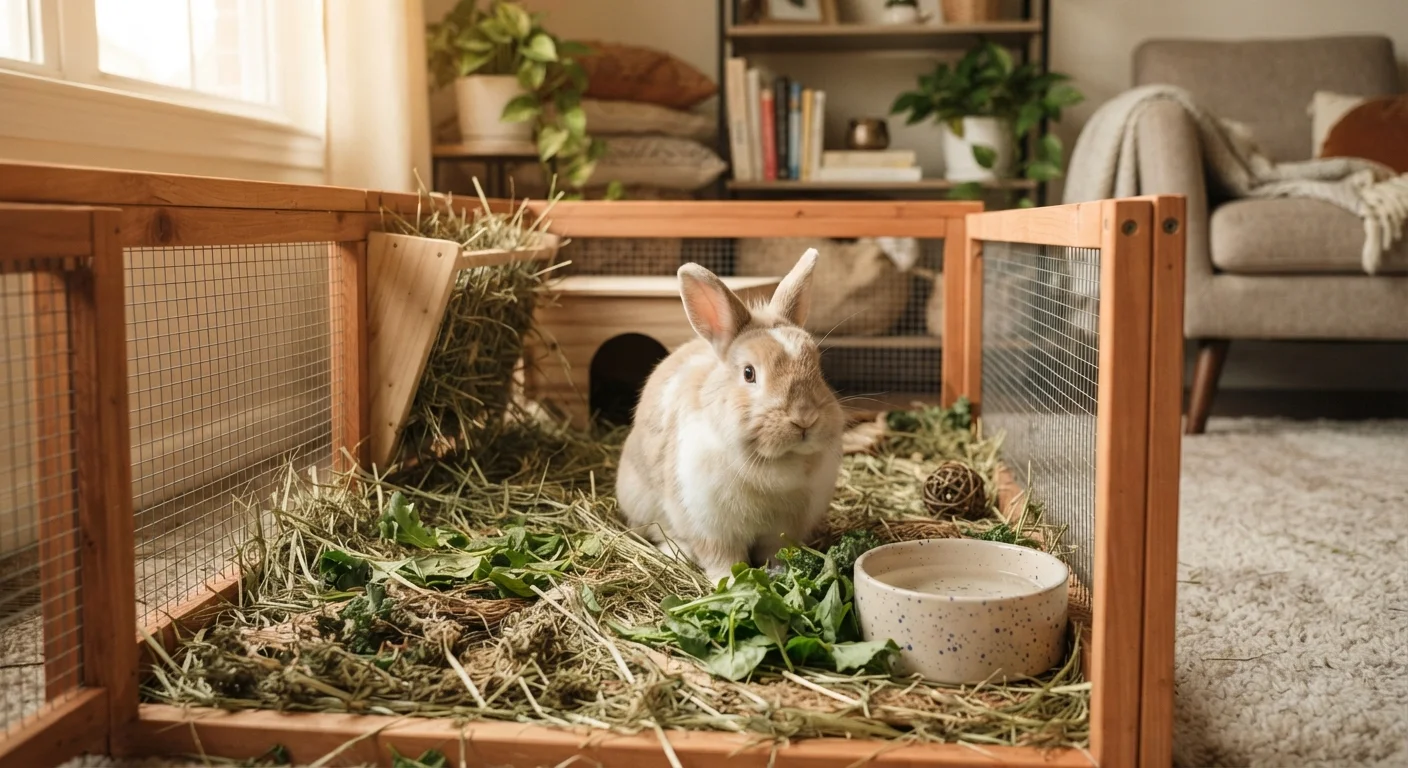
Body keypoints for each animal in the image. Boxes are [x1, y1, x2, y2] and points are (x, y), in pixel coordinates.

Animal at [616, 249, 846, 583]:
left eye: (817, 367)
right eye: (749, 373)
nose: (804, 418)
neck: (774, 463)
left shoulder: (782, 530)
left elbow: (776, 553)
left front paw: (781, 572)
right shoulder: (711, 528)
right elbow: (721, 558)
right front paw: (729, 581)